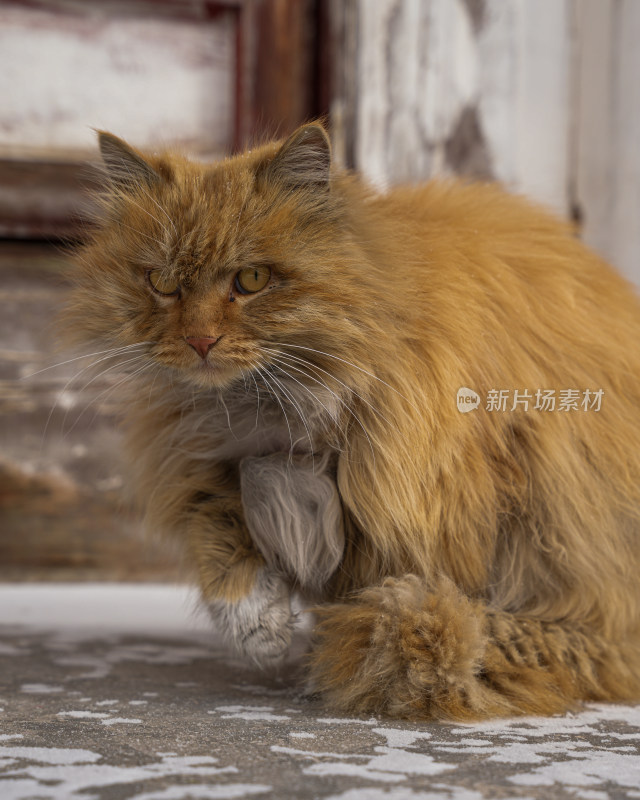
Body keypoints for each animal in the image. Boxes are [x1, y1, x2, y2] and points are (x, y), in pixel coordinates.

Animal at [63, 122, 640, 720]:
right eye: (163, 283)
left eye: (251, 279)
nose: (200, 341)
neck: (272, 409)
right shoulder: (208, 466)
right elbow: (221, 540)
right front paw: (259, 628)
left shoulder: (415, 499)